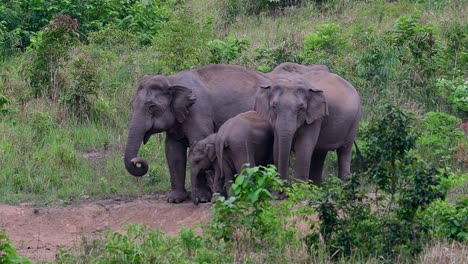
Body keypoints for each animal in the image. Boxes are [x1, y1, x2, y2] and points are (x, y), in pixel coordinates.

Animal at [124, 64, 270, 204]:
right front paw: (174, 199)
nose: (136, 161)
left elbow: (198, 139)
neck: (172, 81)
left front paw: (202, 199)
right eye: (132, 105)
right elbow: (172, 150)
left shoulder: (198, 112)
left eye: (152, 107)